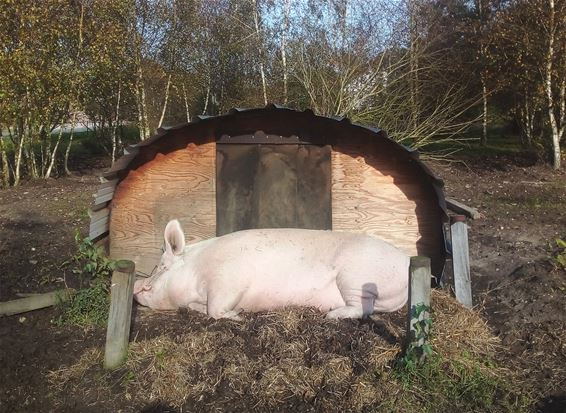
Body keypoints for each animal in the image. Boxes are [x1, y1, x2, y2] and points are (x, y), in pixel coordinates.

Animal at [135, 219, 410, 318]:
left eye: (162, 266)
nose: (137, 285)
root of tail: (406, 260)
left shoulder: (229, 280)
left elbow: (215, 309)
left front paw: (237, 315)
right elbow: (197, 307)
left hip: (355, 278)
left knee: (362, 309)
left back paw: (330, 315)